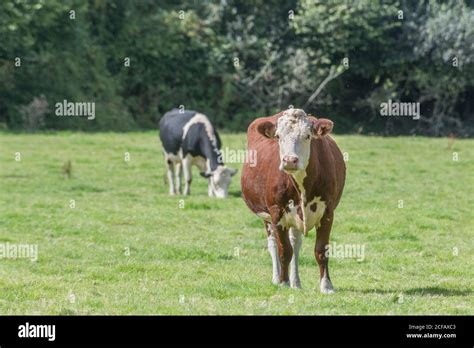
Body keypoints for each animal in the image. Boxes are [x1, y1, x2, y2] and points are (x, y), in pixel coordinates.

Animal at [241, 109, 344, 294]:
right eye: (278, 136)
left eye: (307, 136)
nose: (289, 160)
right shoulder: (276, 212)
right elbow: (284, 250)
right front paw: (283, 282)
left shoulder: (328, 212)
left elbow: (321, 250)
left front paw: (326, 285)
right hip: (267, 216)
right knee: (273, 245)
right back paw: (277, 278)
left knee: (296, 244)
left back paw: (296, 282)